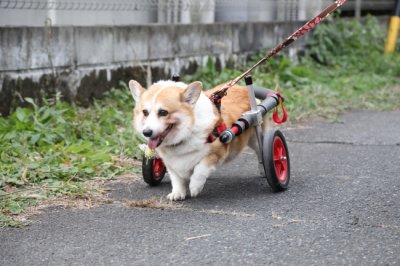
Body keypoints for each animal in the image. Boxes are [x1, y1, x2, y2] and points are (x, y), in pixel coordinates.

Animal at [128, 80, 268, 201]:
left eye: (163, 112)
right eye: (145, 112)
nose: (146, 132)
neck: (186, 134)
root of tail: (243, 88)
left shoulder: (217, 151)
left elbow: (201, 169)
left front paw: (195, 187)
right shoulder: (170, 162)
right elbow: (176, 178)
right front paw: (178, 192)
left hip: (256, 137)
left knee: (261, 151)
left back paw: (263, 168)